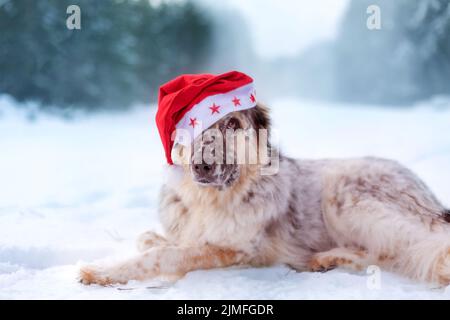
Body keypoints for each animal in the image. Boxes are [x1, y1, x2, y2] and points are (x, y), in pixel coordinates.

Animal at [80, 104, 450, 286]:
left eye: (232, 125)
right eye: (192, 127)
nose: (202, 166)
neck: (210, 201)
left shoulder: (236, 250)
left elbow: (162, 255)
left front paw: (100, 272)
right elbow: (149, 239)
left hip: (347, 198)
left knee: (409, 249)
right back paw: (329, 259)